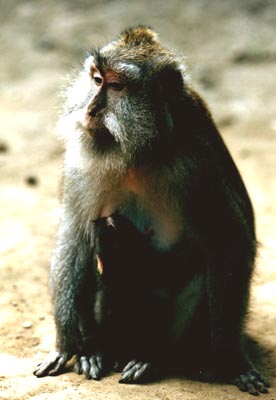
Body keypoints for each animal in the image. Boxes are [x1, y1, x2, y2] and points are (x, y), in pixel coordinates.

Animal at [34, 26, 270, 396]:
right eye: (97, 80)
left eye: (117, 87)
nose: (90, 110)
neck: (138, 151)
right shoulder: (81, 160)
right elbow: (75, 236)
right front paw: (69, 344)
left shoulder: (198, 164)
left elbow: (229, 242)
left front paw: (232, 360)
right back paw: (98, 349)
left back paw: (153, 358)